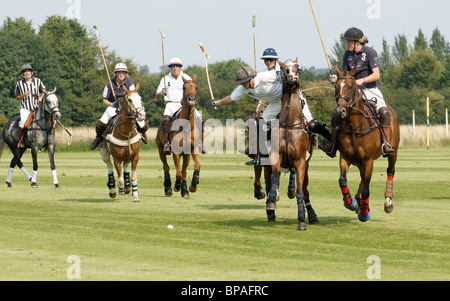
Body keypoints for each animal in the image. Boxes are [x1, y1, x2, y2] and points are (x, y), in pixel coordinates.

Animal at [266, 59, 318, 230]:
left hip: (305, 166)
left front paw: (302, 220)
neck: (290, 124)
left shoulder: (301, 162)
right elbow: (274, 178)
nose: (291, 75)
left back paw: (312, 215)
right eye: (282, 68)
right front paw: (271, 201)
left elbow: (301, 191)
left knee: (305, 190)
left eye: (298, 67)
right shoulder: (276, 156)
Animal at [334, 65, 400, 220]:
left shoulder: (369, 160)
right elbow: (342, 180)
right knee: (362, 178)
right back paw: (358, 201)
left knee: (390, 171)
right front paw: (351, 203)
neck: (355, 127)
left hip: (393, 151)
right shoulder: (345, 157)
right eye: (336, 86)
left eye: (350, 86)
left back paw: (388, 202)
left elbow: (366, 190)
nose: (340, 111)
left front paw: (364, 213)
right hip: (359, 161)